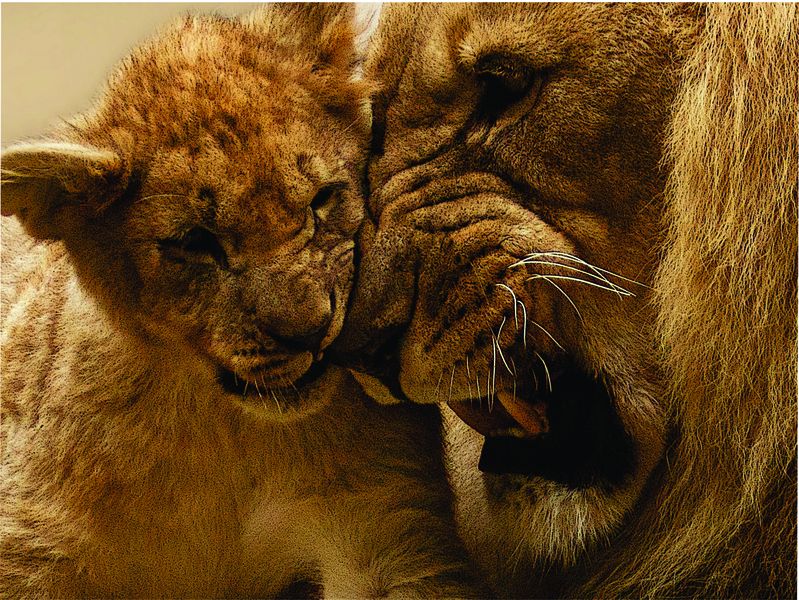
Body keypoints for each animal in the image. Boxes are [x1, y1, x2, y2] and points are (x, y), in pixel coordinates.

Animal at [0, 5, 481, 597]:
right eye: (194, 242)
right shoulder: (31, 547)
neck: (223, 431)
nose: (313, 331)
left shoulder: (387, 527)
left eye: (322, 199)